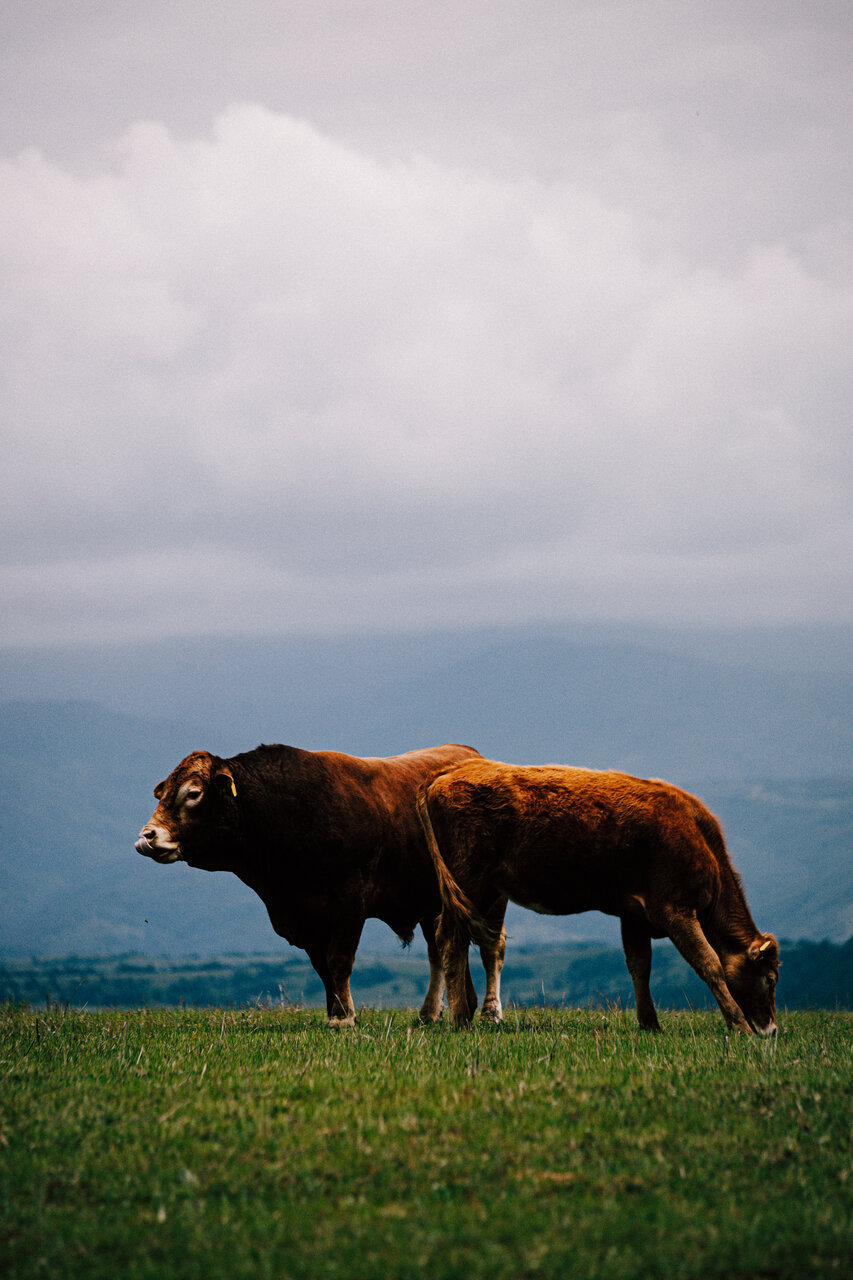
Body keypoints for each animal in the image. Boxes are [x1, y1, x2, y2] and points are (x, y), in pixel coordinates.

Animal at [133, 737, 504, 1024]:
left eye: (193, 793)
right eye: (162, 793)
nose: (147, 836)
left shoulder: (349, 903)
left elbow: (339, 960)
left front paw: (344, 1018)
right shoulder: (306, 917)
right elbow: (322, 966)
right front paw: (335, 1011)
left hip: (492, 896)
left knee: (491, 948)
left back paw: (490, 1013)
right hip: (433, 902)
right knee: (440, 949)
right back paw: (433, 1012)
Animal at [412, 757, 778, 1029]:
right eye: (771, 979)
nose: (771, 1029)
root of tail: (447, 773)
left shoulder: (634, 914)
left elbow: (640, 965)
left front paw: (650, 1024)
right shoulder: (674, 909)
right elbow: (709, 963)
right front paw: (739, 1025)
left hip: (482, 890)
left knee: (458, 937)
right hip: (468, 879)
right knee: (449, 937)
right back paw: (461, 1020)